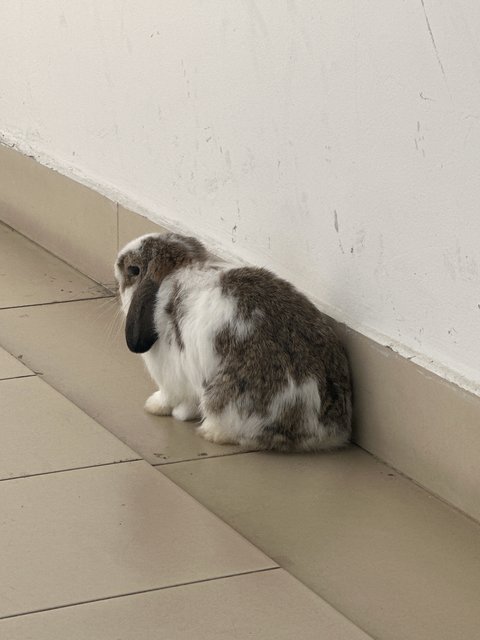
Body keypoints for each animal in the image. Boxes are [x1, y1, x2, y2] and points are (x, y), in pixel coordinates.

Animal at [114, 231, 350, 450]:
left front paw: (155, 406)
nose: (117, 261)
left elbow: (169, 397)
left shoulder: (171, 375)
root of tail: (320, 431)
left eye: (133, 269)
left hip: (222, 397)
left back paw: (209, 432)